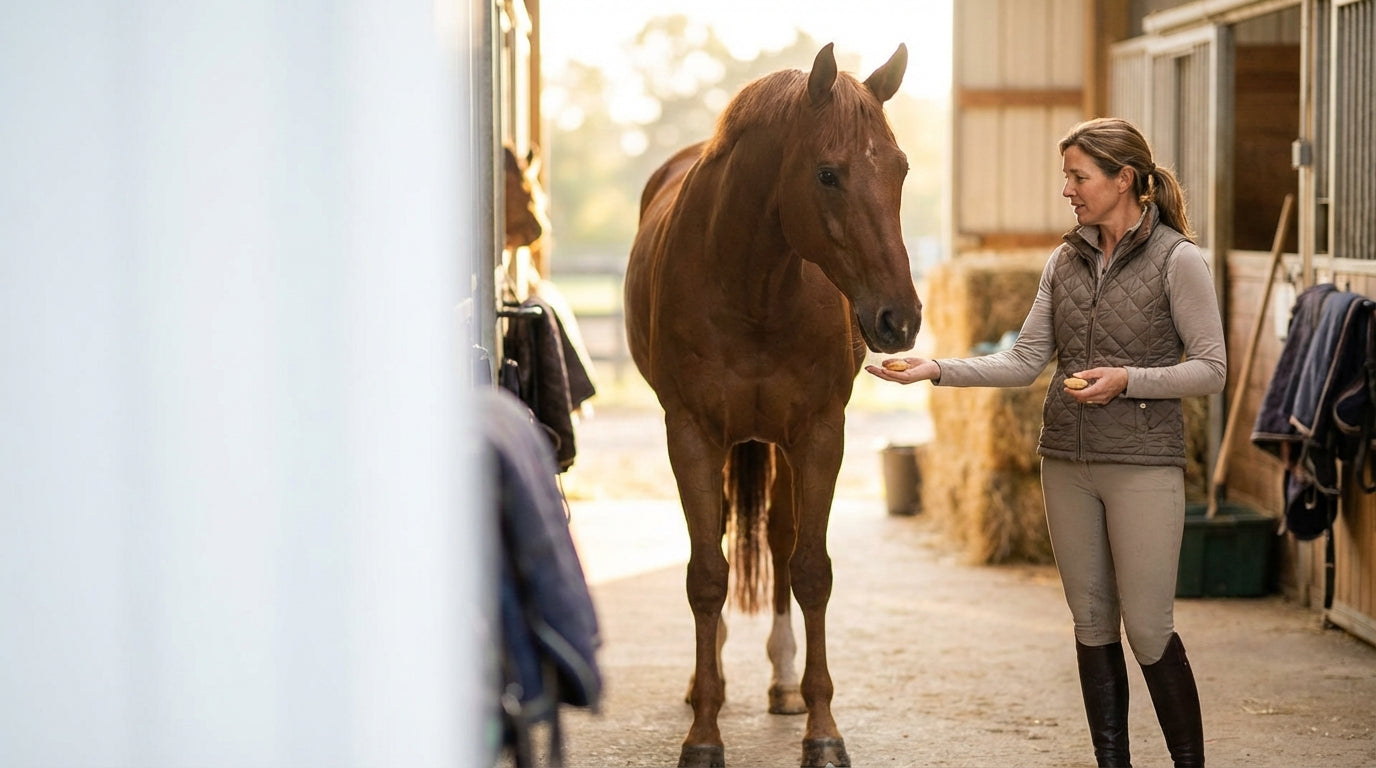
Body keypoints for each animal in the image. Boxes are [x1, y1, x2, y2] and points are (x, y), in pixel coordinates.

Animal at [623, 43, 921, 768]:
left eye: (899, 168)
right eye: (827, 173)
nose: (899, 319)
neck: (751, 286)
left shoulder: (819, 434)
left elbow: (810, 569)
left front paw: (823, 730)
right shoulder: (691, 435)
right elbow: (707, 574)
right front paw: (703, 734)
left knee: (781, 540)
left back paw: (784, 683)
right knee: (724, 537)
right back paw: (709, 681)